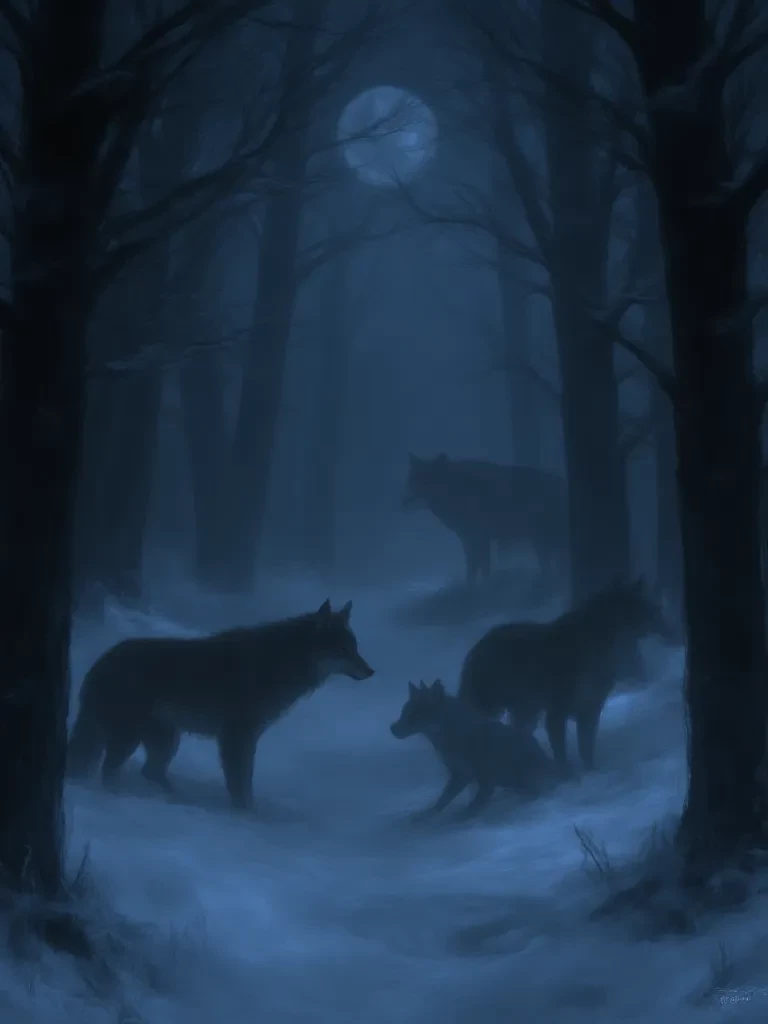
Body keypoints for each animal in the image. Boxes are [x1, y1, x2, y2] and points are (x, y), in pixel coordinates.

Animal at [67, 599, 374, 809]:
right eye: (344, 649)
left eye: (355, 648)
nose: (371, 671)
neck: (279, 663)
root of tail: (100, 662)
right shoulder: (237, 737)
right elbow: (240, 785)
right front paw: (246, 816)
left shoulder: (245, 737)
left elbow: (244, 784)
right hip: (131, 738)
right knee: (110, 770)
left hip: (166, 739)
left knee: (148, 771)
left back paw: (177, 798)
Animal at [390, 679, 557, 819]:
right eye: (404, 711)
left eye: (414, 714)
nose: (392, 728)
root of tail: (545, 758)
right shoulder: (462, 775)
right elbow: (442, 802)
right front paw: (426, 817)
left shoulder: (478, 777)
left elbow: (467, 804)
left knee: (532, 790)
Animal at [403, 453, 568, 586]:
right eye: (413, 479)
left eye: (427, 481)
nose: (405, 500)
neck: (456, 492)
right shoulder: (467, 539)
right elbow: (472, 567)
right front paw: (470, 587)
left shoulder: (481, 537)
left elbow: (483, 567)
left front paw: (484, 588)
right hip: (542, 541)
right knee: (551, 566)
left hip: (544, 540)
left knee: (553, 565)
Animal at [457, 578, 669, 777]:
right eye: (650, 606)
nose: (667, 625)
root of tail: (473, 652)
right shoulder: (557, 710)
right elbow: (562, 753)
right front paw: (567, 776)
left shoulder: (590, 708)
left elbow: (586, 748)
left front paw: (590, 772)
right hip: (491, 705)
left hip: (525, 710)